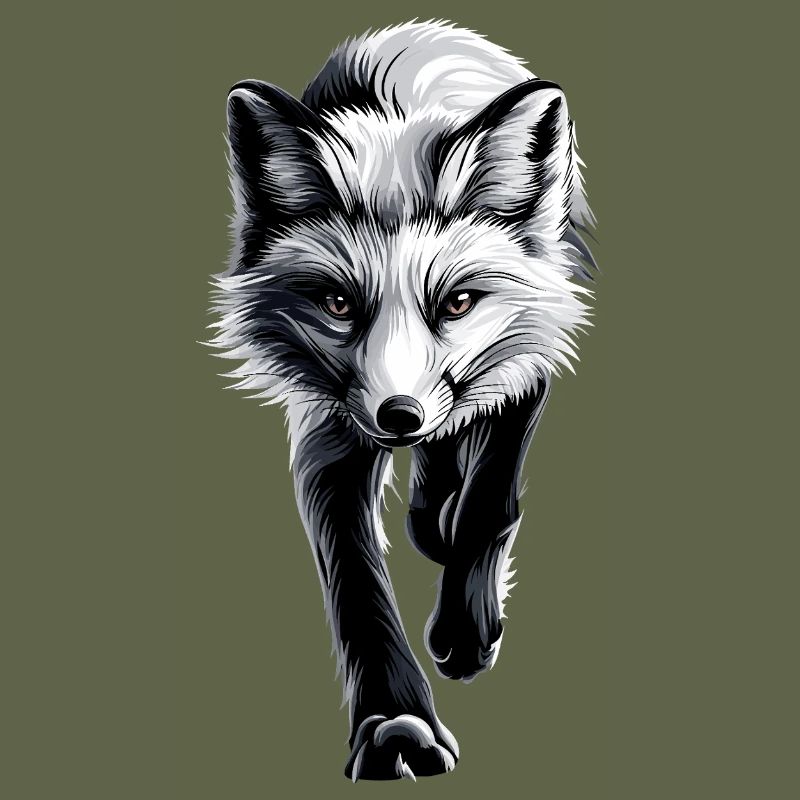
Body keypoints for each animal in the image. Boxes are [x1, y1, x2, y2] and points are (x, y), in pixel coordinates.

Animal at [209, 20, 596, 781]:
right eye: (337, 304)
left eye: (458, 302)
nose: (399, 416)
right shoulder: (330, 428)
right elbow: (356, 581)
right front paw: (396, 726)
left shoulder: (528, 356)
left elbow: (489, 508)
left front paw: (467, 629)